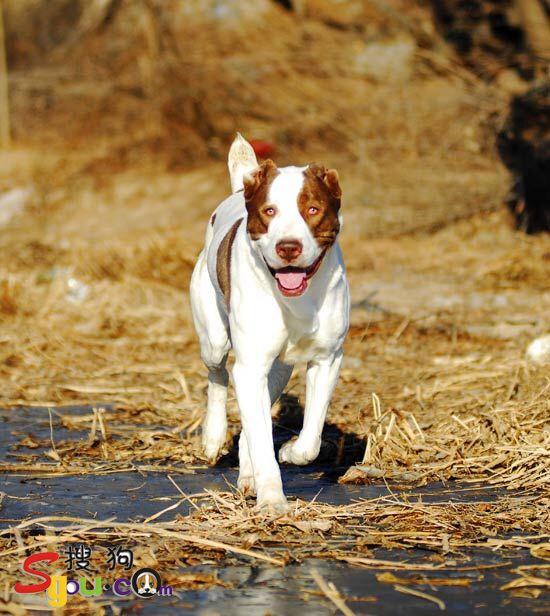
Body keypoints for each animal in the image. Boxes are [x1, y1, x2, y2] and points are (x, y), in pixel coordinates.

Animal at [192, 136, 352, 516]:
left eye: (312, 209)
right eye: (269, 212)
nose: (288, 246)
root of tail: (241, 188)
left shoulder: (327, 359)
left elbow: (310, 438)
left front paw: (290, 451)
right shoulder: (250, 366)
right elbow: (260, 437)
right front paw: (272, 501)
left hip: (278, 370)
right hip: (214, 340)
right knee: (218, 375)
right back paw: (213, 437)